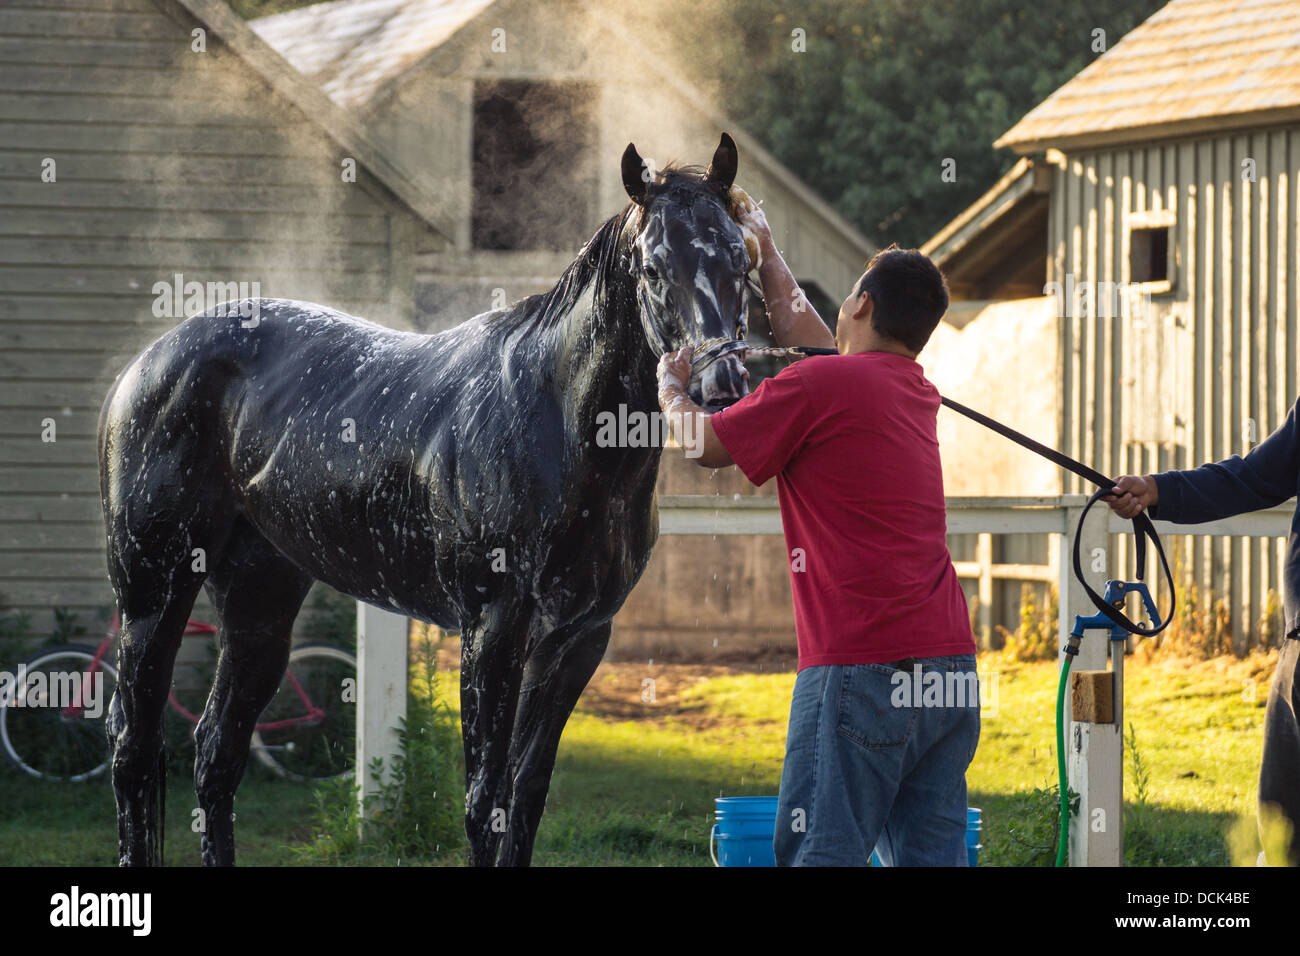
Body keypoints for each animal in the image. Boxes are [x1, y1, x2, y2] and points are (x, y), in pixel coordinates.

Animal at [98, 132, 754, 868]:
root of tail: (145, 364)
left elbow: (525, 796)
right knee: (134, 748)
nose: (722, 386)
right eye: (653, 267)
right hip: (153, 593)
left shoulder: (577, 640)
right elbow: (483, 803)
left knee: (216, 751)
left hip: (259, 602)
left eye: (740, 257)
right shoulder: (492, 629)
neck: (554, 421)